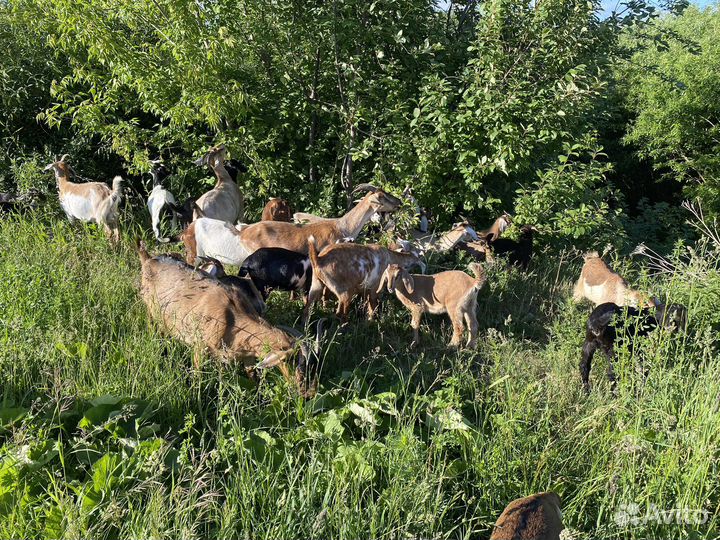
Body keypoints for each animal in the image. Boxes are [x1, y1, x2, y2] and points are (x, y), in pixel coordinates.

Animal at [138, 244, 319, 396]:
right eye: (294, 362)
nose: (305, 394)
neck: (232, 318)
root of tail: (148, 259)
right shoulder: (199, 347)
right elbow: (198, 374)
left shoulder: (244, 355)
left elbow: (252, 375)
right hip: (150, 310)